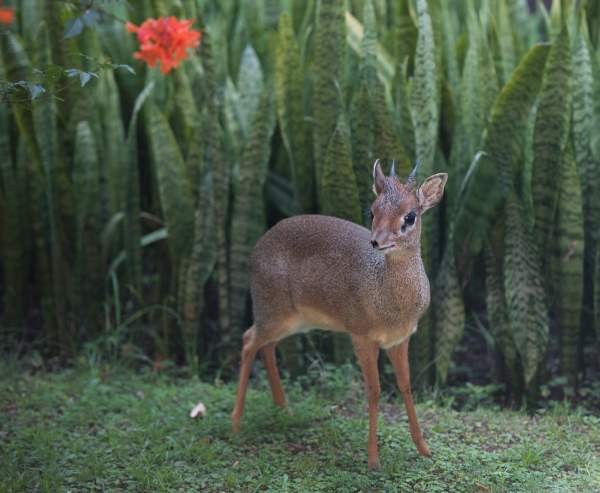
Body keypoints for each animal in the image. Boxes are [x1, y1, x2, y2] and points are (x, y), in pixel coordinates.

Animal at [232, 159, 448, 468]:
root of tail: (257, 247)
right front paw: (373, 460)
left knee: (267, 347)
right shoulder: (362, 338)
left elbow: (406, 386)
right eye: (373, 210)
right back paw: (236, 424)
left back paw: (285, 411)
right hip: (272, 314)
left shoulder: (399, 340)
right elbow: (374, 391)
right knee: (249, 340)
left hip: (291, 322)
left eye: (410, 216)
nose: (377, 242)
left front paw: (424, 448)